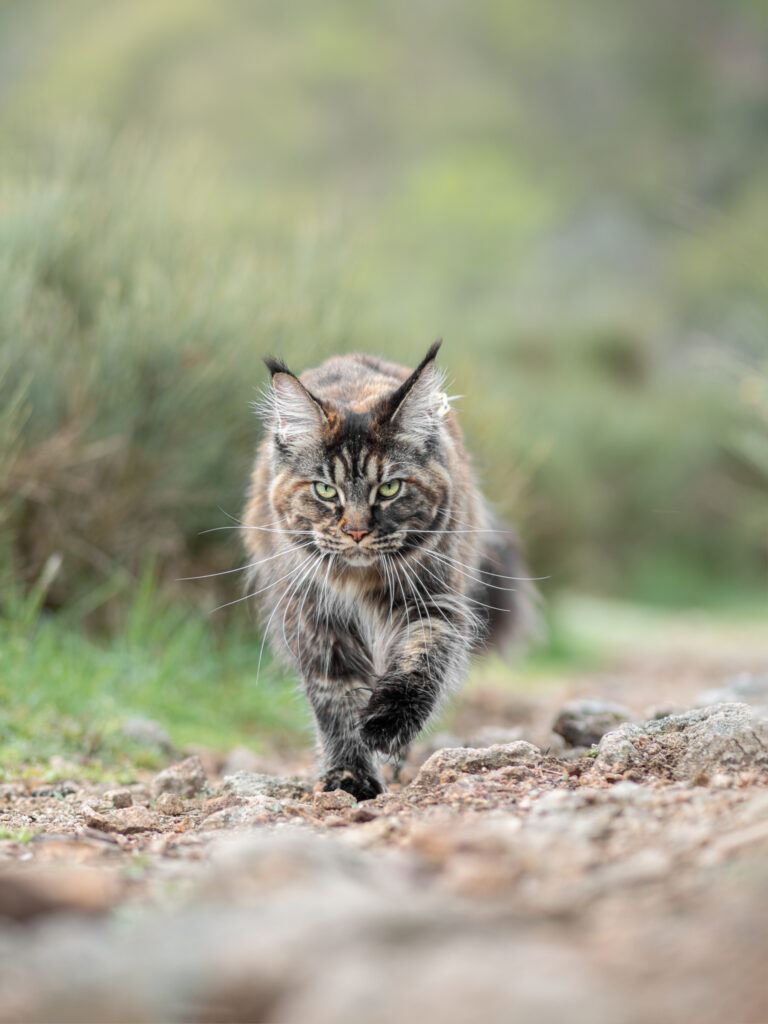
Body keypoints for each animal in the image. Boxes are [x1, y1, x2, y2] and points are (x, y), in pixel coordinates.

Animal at [241, 344, 536, 798]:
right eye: (325, 491)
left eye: (389, 488)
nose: (357, 531)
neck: (358, 583)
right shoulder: (316, 623)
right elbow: (336, 702)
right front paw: (349, 776)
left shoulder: (431, 603)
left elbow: (420, 663)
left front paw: (385, 725)